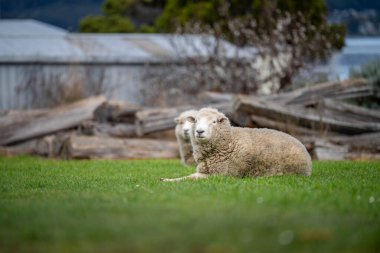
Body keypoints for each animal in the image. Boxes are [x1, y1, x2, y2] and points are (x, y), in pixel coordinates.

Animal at [162, 107, 314, 181]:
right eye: (196, 120)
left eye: (214, 122)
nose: (199, 131)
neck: (229, 141)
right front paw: (167, 179)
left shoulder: (224, 175)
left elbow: (192, 178)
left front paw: (169, 181)